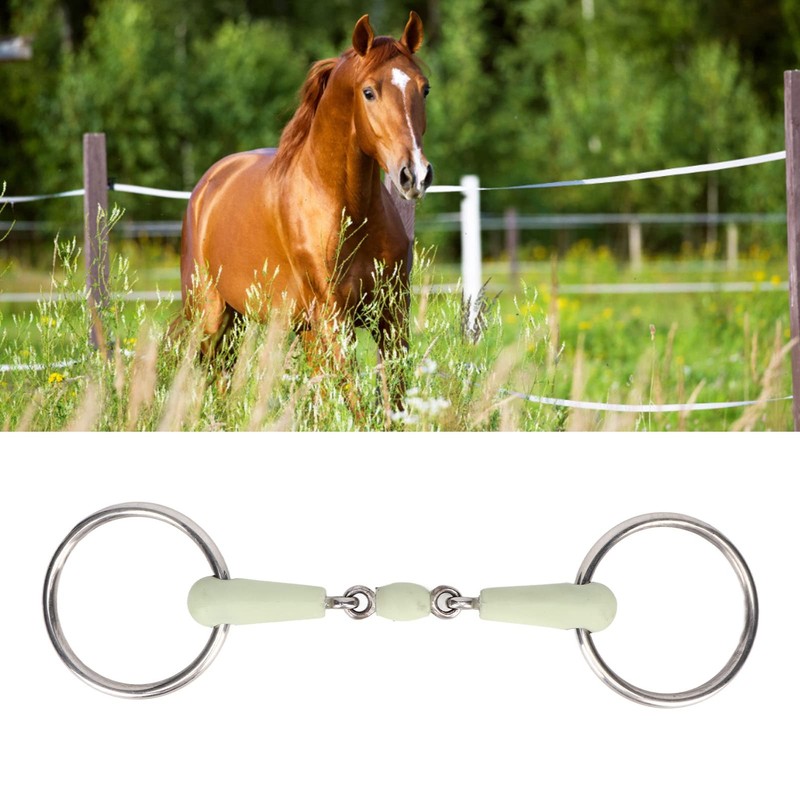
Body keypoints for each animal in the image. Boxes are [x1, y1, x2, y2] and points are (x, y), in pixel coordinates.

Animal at [179, 12, 433, 415]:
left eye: (424, 89)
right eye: (369, 92)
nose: (415, 175)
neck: (347, 211)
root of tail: (208, 185)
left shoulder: (391, 315)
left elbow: (393, 398)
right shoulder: (333, 319)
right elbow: (356, 403)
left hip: (286, 327)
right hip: (211, 317)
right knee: (213, 376)